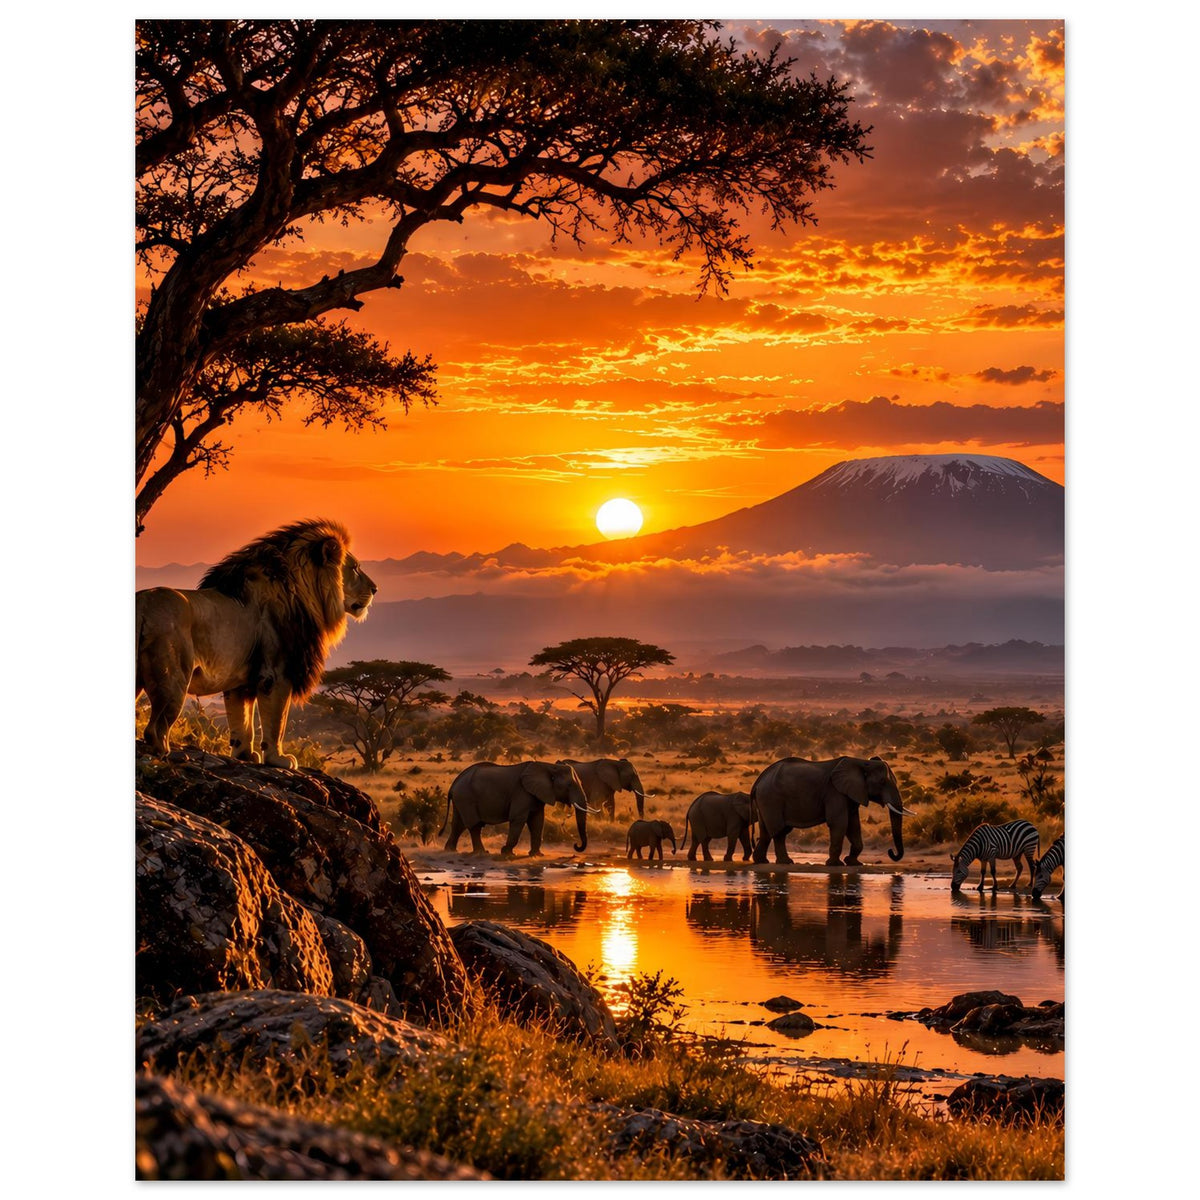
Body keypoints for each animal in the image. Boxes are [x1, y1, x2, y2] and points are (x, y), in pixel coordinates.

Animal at [136, 519, 377, 768]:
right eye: (355, 568)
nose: (375, 589)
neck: (303, 593)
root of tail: (143, 602)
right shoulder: (277, 674)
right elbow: (277, 723)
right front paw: (278, 759)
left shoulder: (240, 681)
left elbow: (241, 720)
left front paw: (244, 755)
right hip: (175, 679)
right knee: (154, 728)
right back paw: (168, 754)